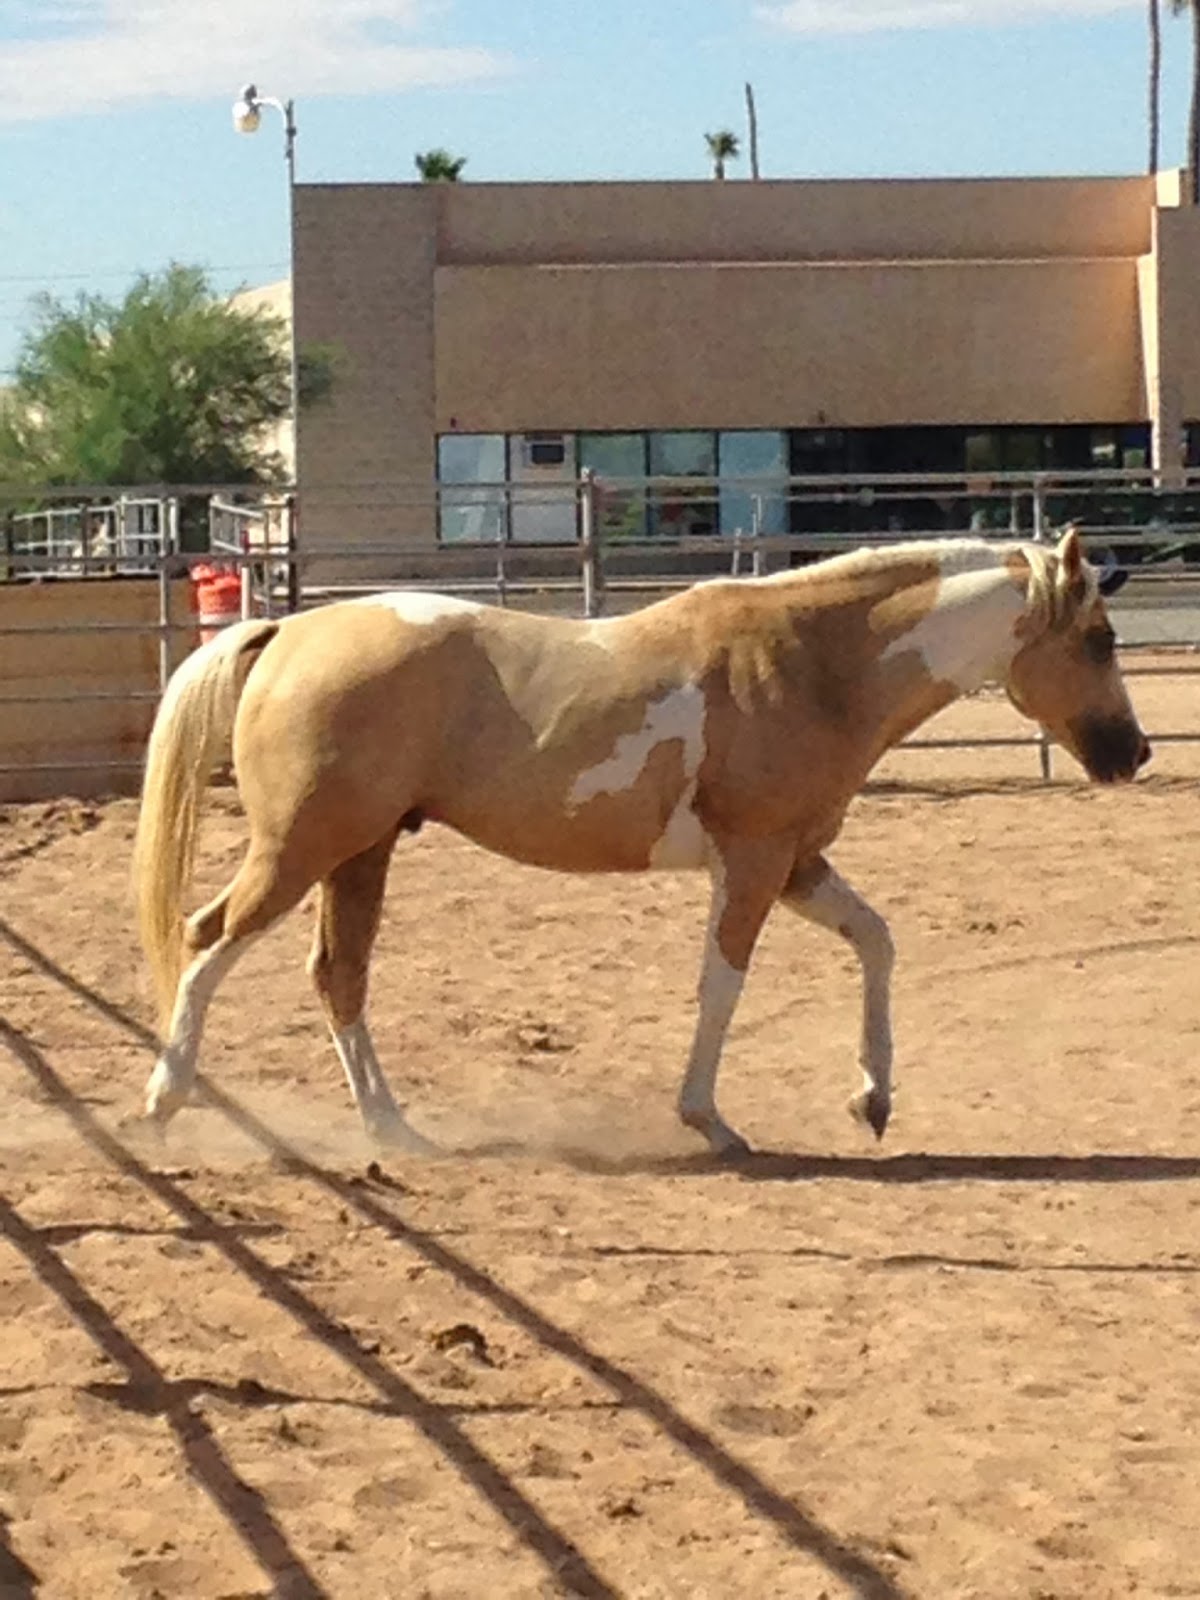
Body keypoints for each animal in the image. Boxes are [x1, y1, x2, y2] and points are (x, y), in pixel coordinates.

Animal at [132, 527, 1148, 1157]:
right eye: (1100, 639)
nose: (1132, 752)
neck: (813, 662)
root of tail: (287, 631)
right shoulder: (753, 864)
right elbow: (721, 986)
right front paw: (709, 1121)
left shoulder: (797, 864)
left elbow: (876, 941)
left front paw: (874, 1098)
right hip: (302, 849)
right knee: (207, 940)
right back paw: (165, 1100)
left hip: (361, 853)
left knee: (338, 977)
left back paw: (393, 1129)